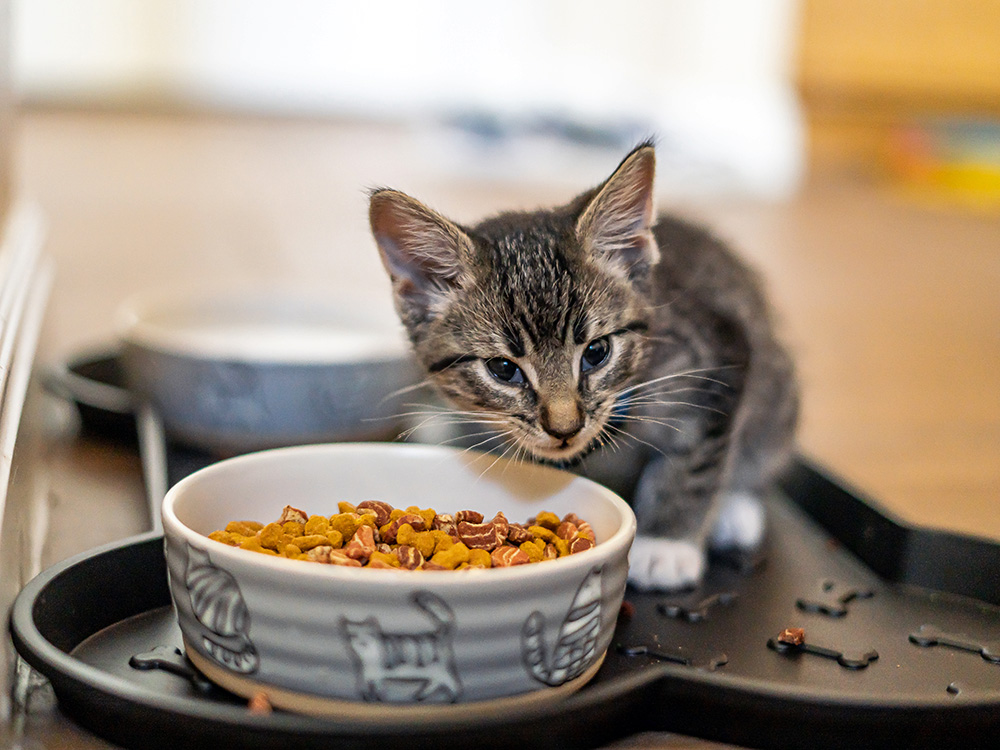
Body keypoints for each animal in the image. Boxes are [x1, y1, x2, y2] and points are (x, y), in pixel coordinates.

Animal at [368, 138, 796, 592]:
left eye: (596, 352)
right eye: (503, 369)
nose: (564, 427)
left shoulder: (720, 353)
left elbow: (694, 461)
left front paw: (667, 543)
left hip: (777, 377)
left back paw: (736, 508)